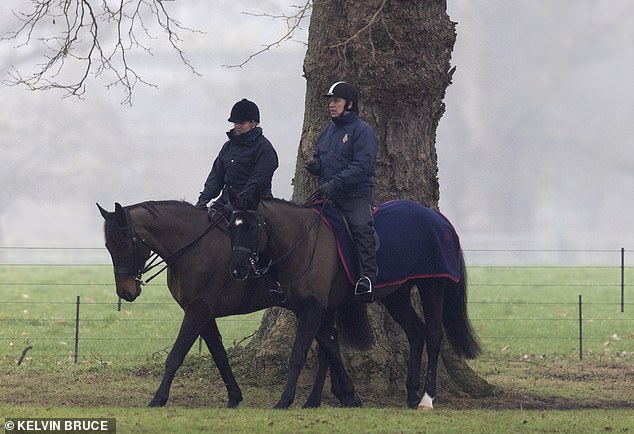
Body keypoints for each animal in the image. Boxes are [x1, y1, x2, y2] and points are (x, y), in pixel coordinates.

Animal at [96, 202, 368, 408]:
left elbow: (176, 355)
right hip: (321, 308)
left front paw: (158, 398)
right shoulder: (203, 312)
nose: (126, 292)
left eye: (123, 243)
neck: (193, 246)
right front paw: (234, 397)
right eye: (108, 246)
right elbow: (219, 354)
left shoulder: (198, 309)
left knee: (326, 346)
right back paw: (330, 396)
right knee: (328, 346)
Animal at [227, 198, 478, 410]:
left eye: (253, 227)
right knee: (416, 333)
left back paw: (427, 398)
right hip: (396, 296)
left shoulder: (313, 308)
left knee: (434, 337)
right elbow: (329, 348)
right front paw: (339, 396)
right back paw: (411, 395)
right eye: (231, 227)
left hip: (431, 286)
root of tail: (439, 218)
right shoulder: (311, 309)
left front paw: (285, 400)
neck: (304, 242)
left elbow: (299, 353)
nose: (237, 270)